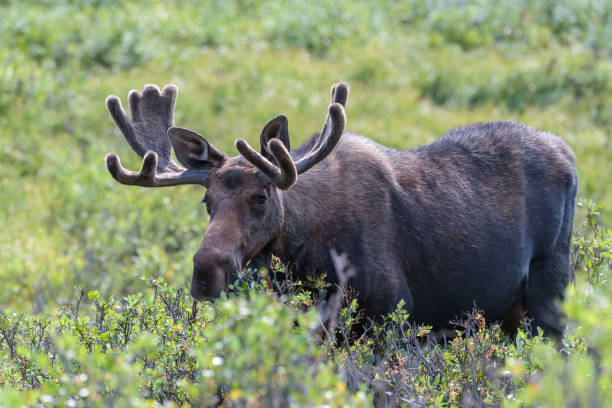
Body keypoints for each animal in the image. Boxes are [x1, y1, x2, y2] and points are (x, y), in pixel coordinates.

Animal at [105, 83, 580, 338]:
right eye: (207, 202)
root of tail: (569, 154)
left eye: (261, 197)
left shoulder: (392, 316)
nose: (206, 271)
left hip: (550, 295)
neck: (303, 259)